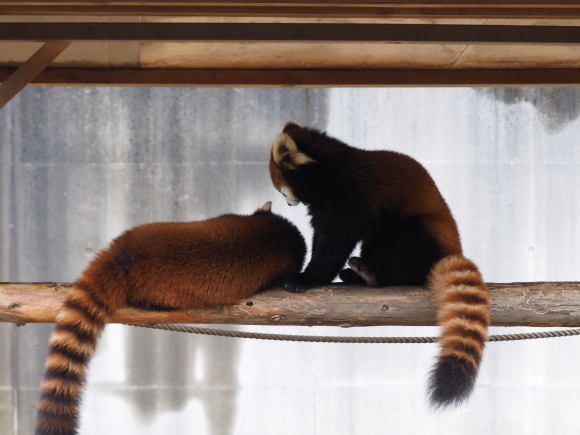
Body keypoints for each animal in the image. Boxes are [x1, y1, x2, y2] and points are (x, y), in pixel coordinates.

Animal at [270, 122, 488, 408]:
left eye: (281, 189)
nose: (288, 202)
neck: (332, 172)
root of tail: (453, 251)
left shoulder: (351, 199)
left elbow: (333, 243)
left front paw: (308, 278)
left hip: (424, 232)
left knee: (408, 242)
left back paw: (373, 273)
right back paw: (356, 274)